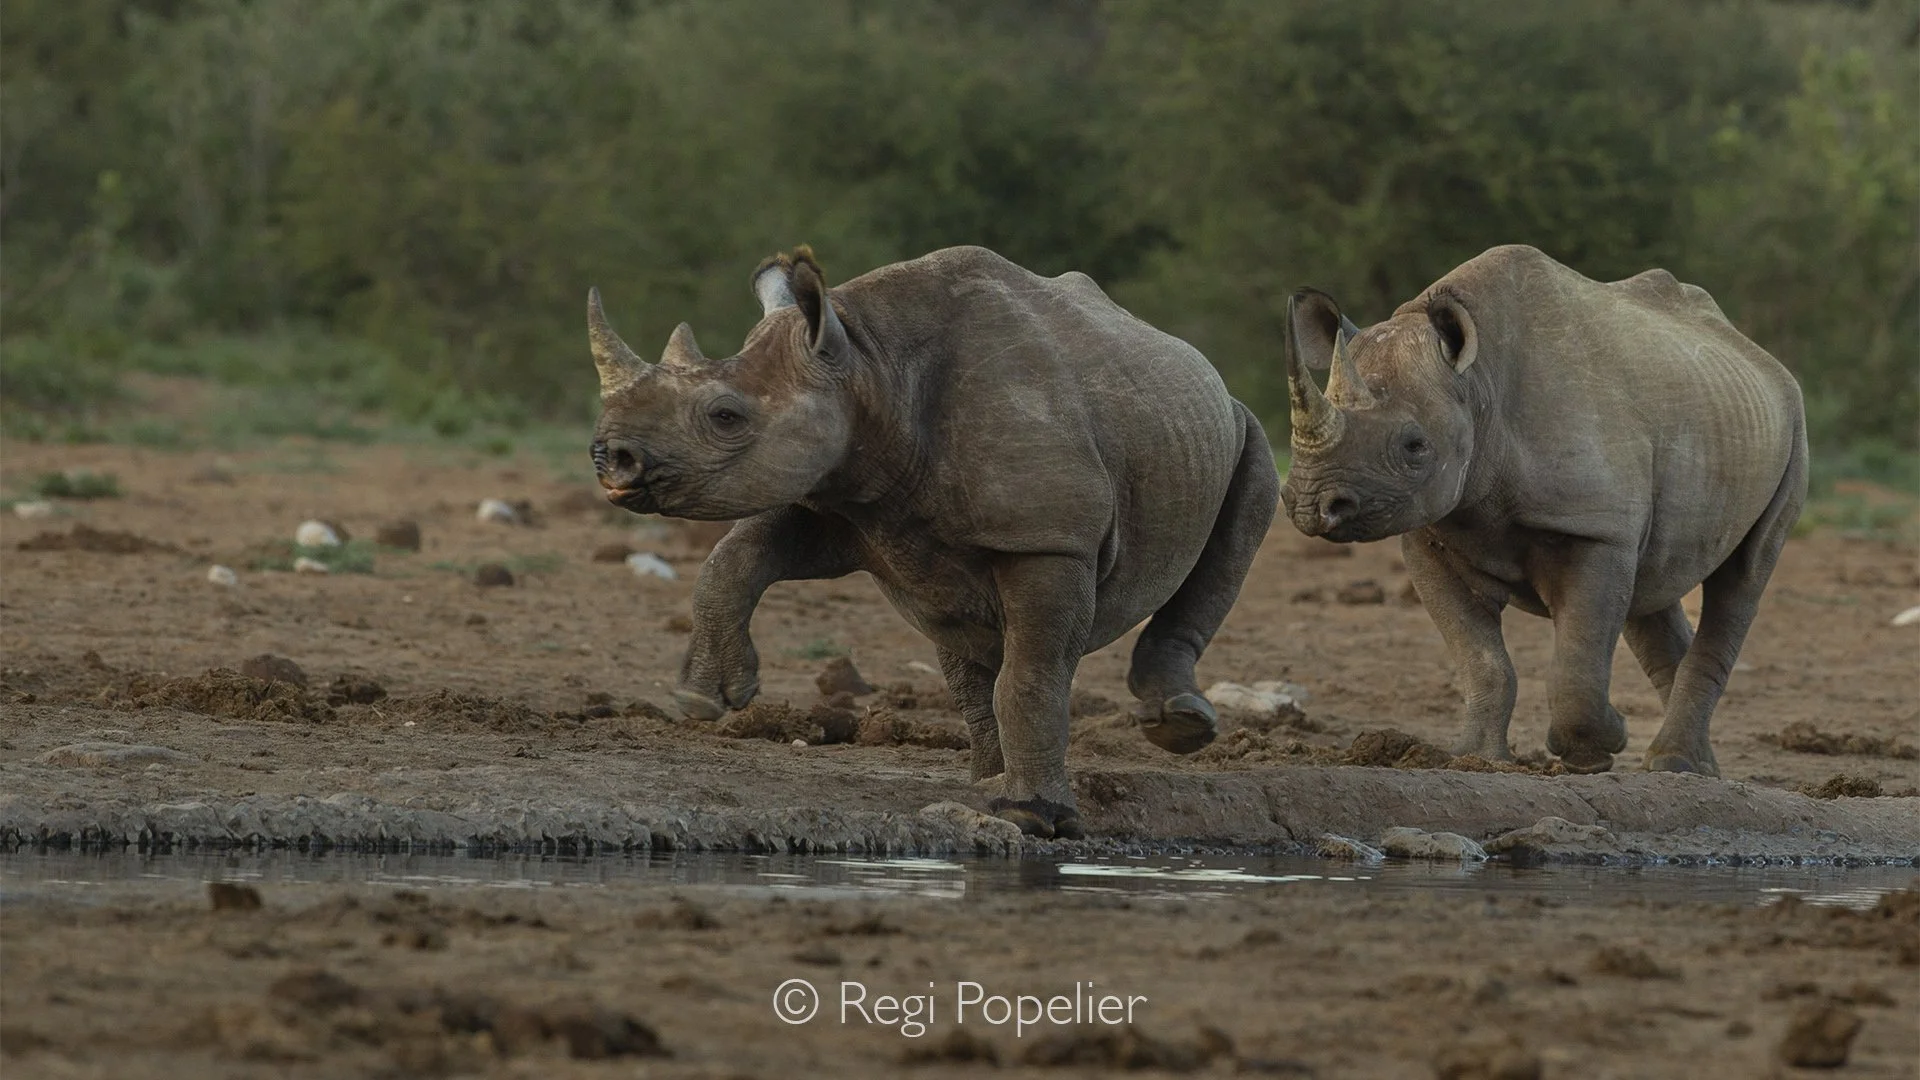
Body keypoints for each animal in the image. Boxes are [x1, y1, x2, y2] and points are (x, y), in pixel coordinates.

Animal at [587, 246, 1279, 836]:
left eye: (725, 416)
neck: (870, 364)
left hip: (1239, 424)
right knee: (963, 633)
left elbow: (1034, 675)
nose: (610, 458)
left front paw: (1036, 816)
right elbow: (735, 560)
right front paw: (701, 697)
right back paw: (985, 785)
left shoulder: (1048, 540)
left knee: (1242, 514)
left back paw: (1174, 727)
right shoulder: (845, 497)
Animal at [1279, 244, 1806, 776]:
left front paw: (1599, 748)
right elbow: (1481, 659)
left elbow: (1576, 663)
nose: (1309, 503)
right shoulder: (1430, 530)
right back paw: (1697, 770)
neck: (1478, 386)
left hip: (1793, 428)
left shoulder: (1594, 528)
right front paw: (1474, 757)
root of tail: (1757, 353)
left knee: (1742, 576)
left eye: (1415, 446)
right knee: (1652, 584)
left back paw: (1675, 764)